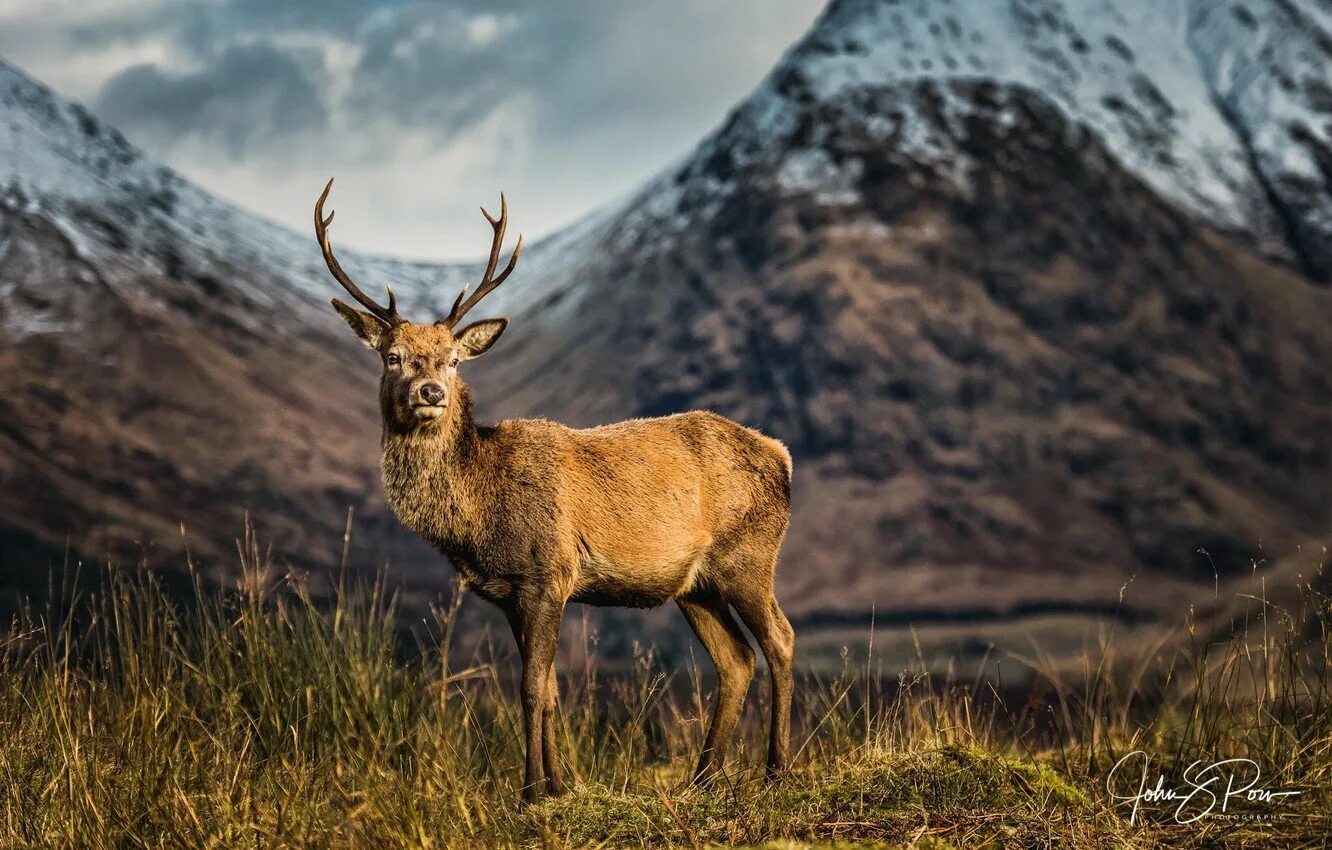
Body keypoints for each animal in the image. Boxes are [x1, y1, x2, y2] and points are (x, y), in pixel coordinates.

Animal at [312, 179, 796, 803]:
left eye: (453, 359)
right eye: (392, 357)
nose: (430, 391)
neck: (479, 512)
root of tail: (783, 457)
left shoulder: (549, 573)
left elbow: (529, 688)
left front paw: (531, 791)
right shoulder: (510, 593)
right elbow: (548, 690)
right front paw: (559, 785)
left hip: (749, 556)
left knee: (779, 640)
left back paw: (776, 769)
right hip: (696, 584)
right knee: (735, 659)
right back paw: (703, 777)